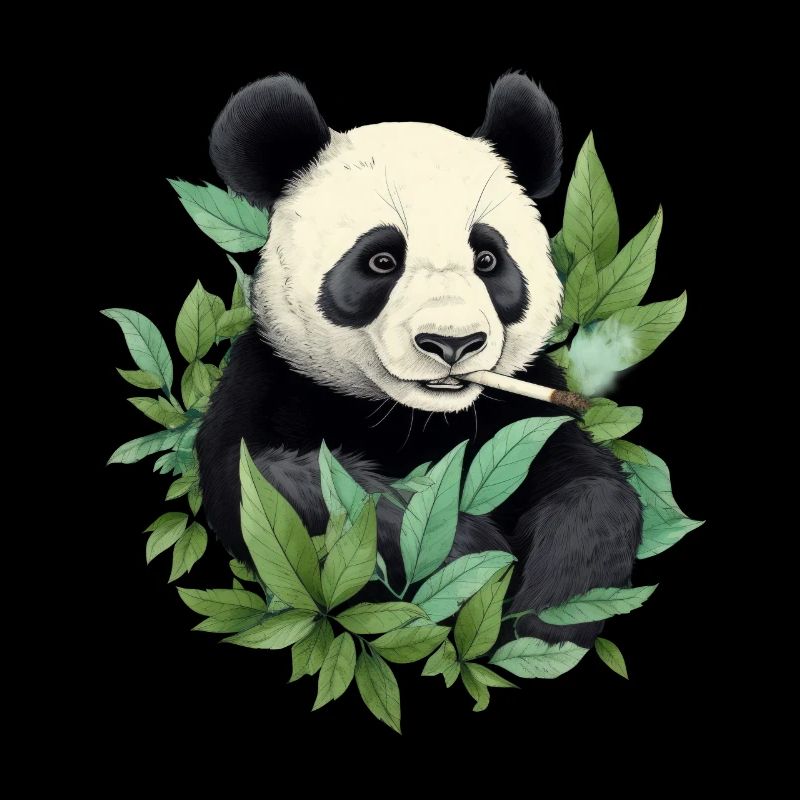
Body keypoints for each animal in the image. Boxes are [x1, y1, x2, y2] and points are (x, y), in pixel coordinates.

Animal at [197, 72, 642, 647]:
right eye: (381, 261)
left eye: (487, 258)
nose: (452, 343)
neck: (414, 416)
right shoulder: (272, 378)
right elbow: (269, 477)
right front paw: (474, 558)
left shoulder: (521, 406)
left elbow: (591, 486)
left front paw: (547, 621)